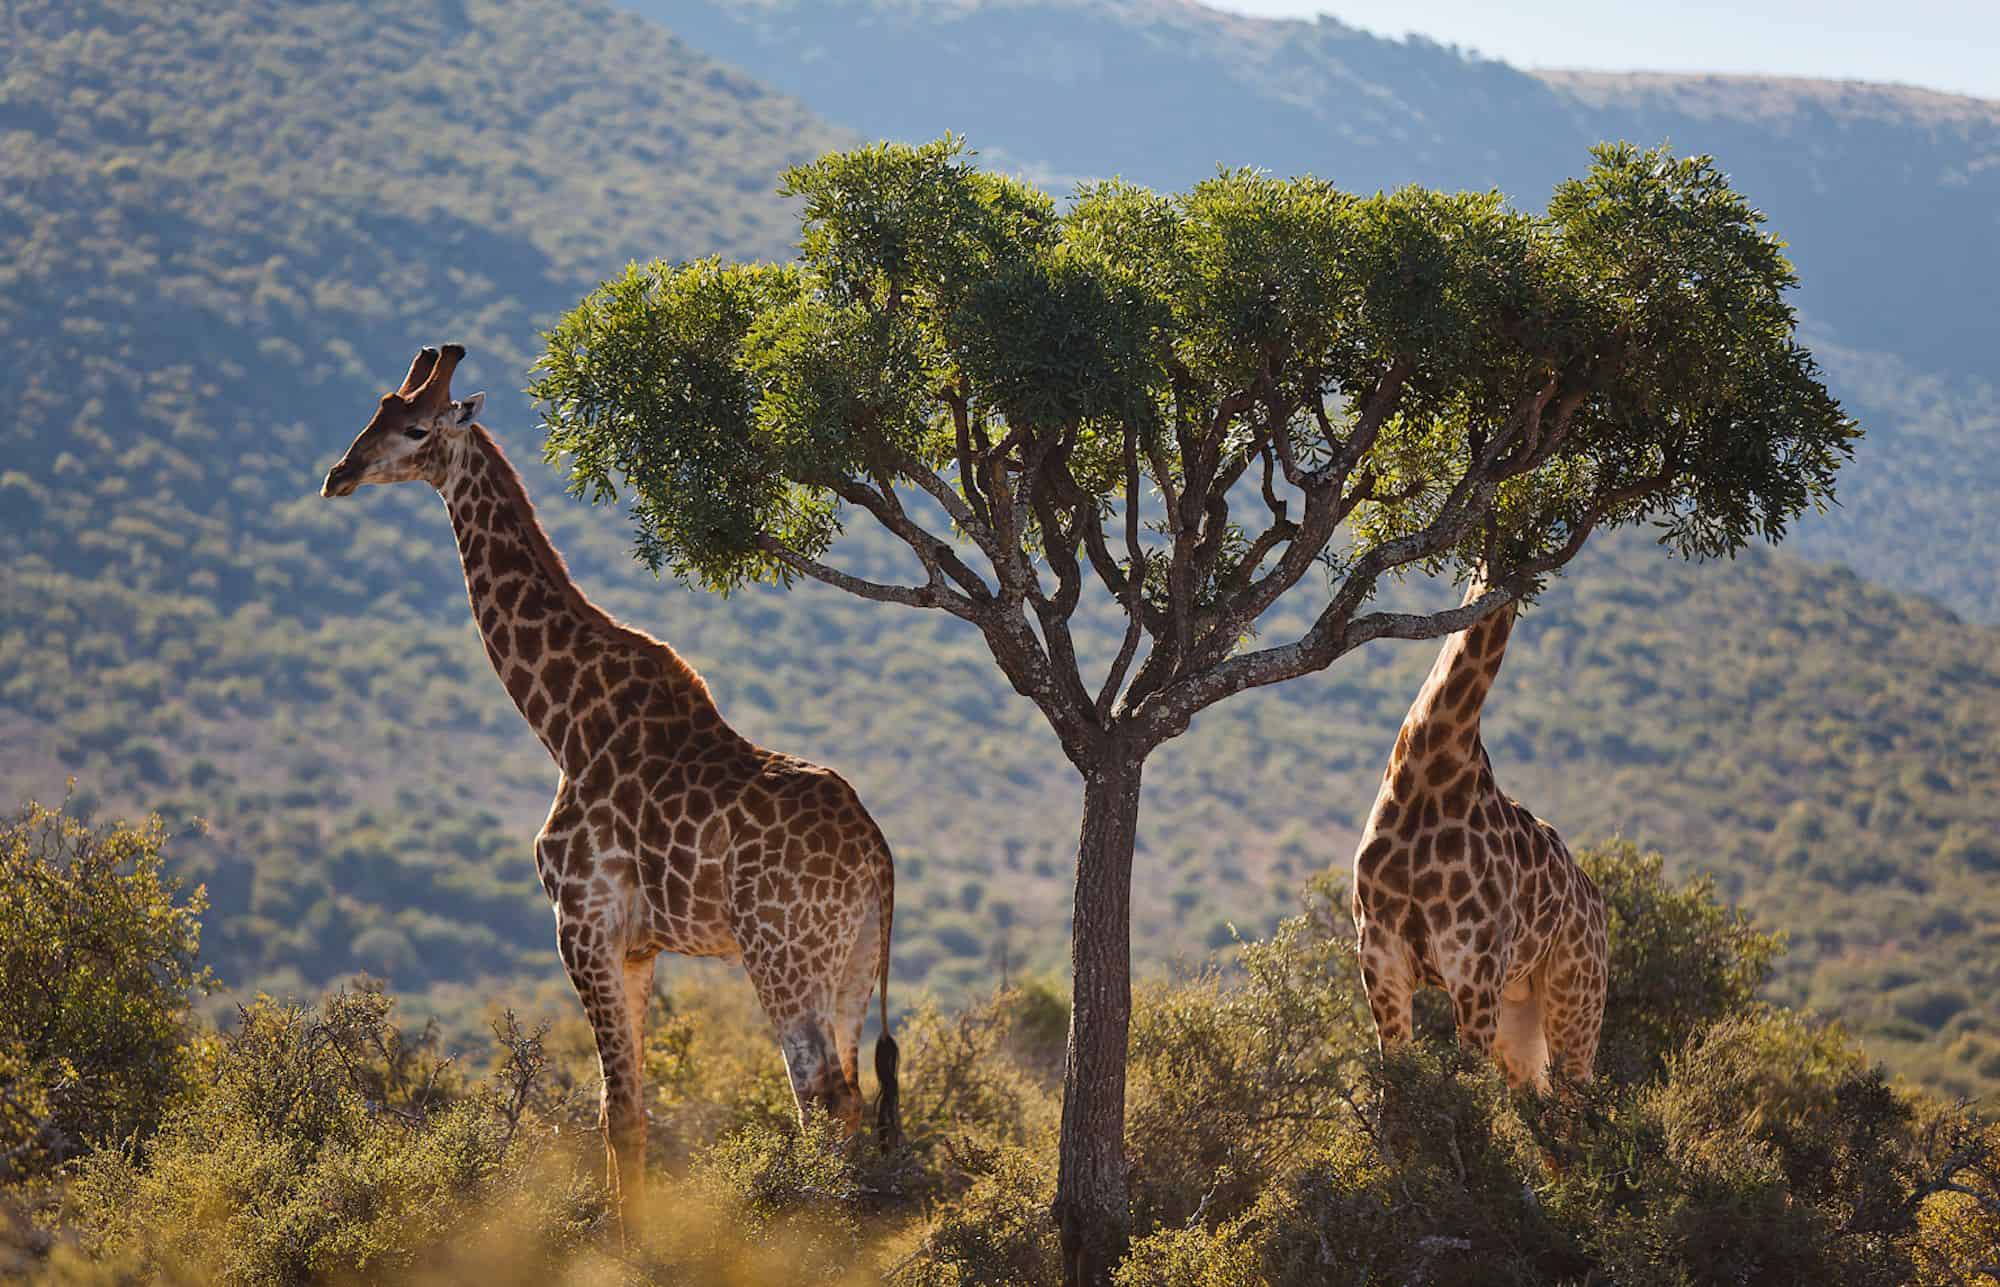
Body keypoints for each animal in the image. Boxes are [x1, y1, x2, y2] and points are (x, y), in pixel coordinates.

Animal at [319, 344, 901, 1221]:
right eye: (375, 410)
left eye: (416, 428)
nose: (338, 474)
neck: (563, 719)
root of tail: (877, 856)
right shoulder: (636, 945)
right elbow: (630, 1106)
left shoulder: (580, 919)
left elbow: (616, 1108)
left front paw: (629, 1240)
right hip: (855, 960)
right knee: (852, 1097)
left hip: (782, 955)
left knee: (818, 1095)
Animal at [1349, 581, 1608, 1090]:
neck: (1432, 763)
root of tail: (1598, 907)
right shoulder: (1381, 961)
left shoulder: (1475, 970)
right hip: (1520, 1013)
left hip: (1575, 999)